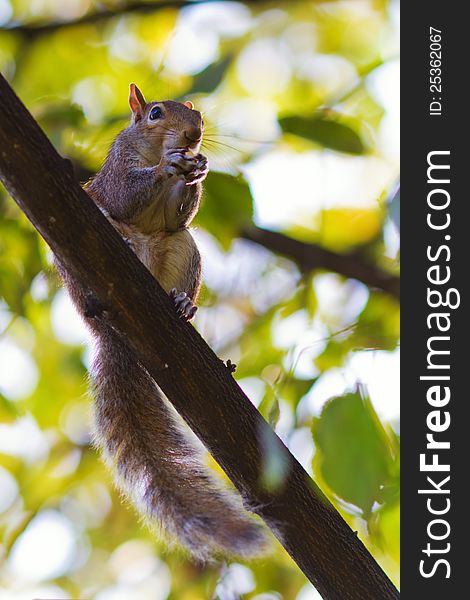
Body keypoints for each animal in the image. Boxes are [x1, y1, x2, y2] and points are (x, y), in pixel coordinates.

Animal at [57, 84, 266, 564]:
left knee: (179, 240)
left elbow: (178, 216)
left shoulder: (178, 215)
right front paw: (168, 166)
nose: (192, 137)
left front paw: (198, 170)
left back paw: (182, 302)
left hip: (184, 250)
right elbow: (125, 193)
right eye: (154, 114)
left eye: (200, 116)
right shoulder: (117, 171)